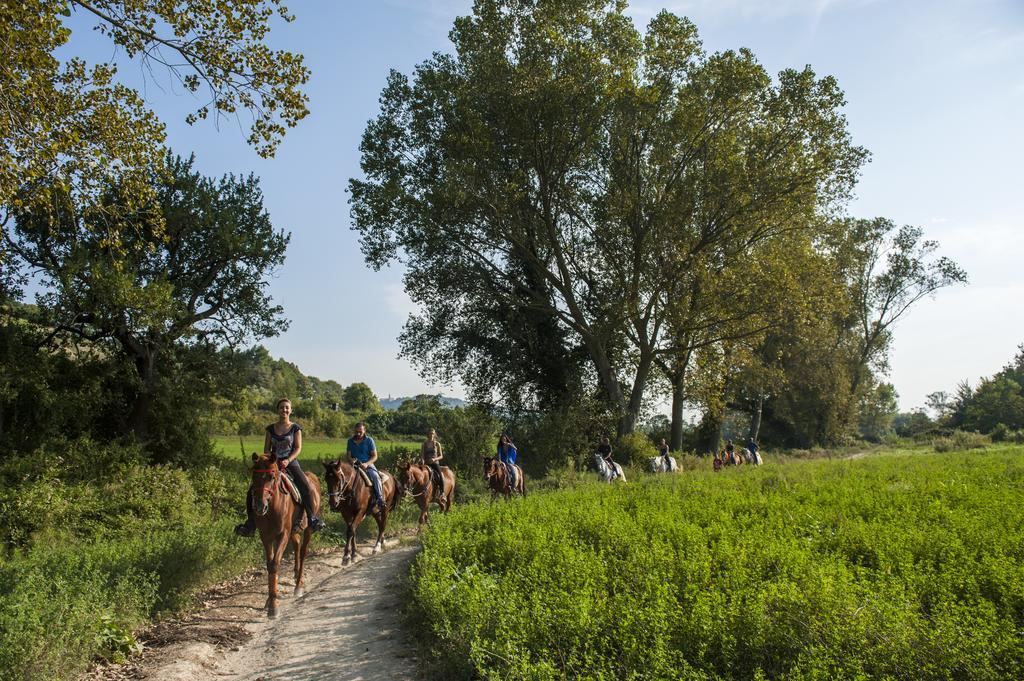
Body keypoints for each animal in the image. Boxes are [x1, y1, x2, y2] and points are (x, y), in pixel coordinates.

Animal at [246, 450, 319, 614]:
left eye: (271, 477)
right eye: (254, 476)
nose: (259, 507)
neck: (272, 507)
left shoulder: (282, 535)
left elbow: (275, 564)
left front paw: (273, 607)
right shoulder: (266, 536)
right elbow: (269, 564)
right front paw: (269, 600)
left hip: (308, 529)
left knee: (303, 551)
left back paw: (298, 586)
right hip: (294, 530)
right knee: (297, 545)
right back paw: (298, 578)